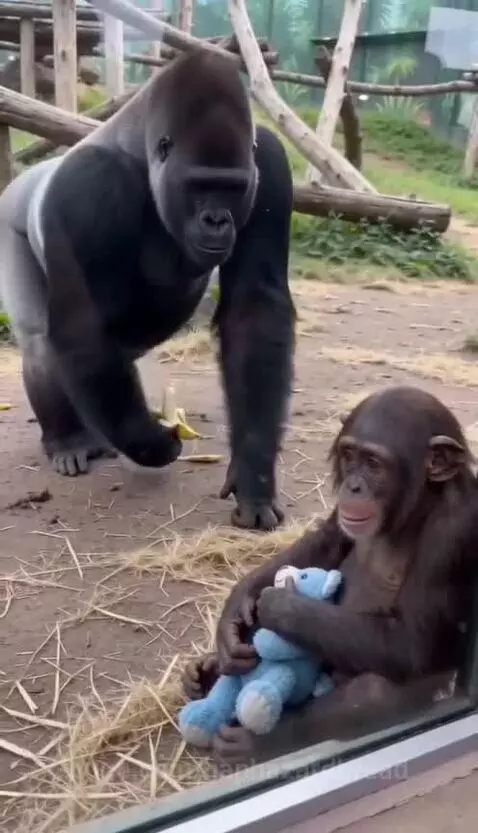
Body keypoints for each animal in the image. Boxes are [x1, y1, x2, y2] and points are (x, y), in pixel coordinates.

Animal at [0, 49, 295, 532]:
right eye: (199, 185)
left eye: (232, 187)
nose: (217, 220)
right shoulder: (88, 184)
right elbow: (83, 328)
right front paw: (152, 443)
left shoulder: (267, 161)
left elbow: (254, 310)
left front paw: (255, 474)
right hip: (12, 212)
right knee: (43, 342)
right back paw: (69, 439)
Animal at [182, 386, 478, 763]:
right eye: (350, 455)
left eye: (374, 464)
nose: (353, 486)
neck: (420, 503)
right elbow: (327, 539)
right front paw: (234, 617)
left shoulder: (455, 533)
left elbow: (412, 642)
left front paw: (279, 605)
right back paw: (203, 673)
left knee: (374, 693)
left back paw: (258, 738)